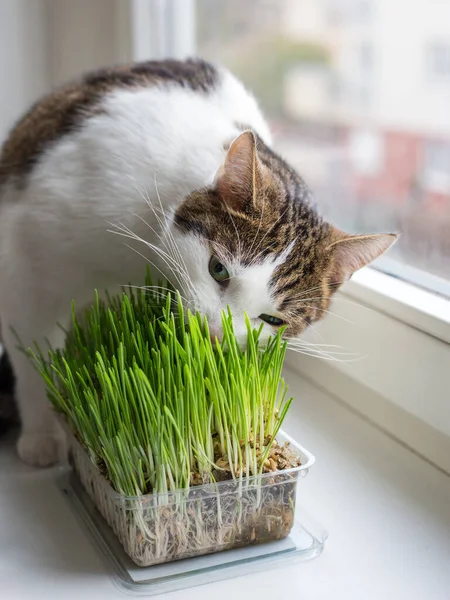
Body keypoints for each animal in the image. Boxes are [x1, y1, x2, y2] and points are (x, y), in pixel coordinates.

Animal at [0, 57, 394, 468]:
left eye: (273, 321)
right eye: (217, 269)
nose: (216, 334)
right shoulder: (24, 260)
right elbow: (31, 352)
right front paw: (41, 433)